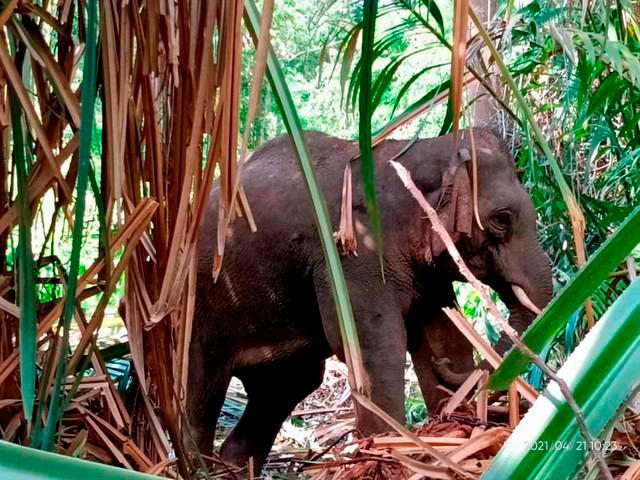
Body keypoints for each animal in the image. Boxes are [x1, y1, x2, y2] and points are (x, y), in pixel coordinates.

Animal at [188, 127, 552, 472]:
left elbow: (442, 335)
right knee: (203, 387)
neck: (422, 150)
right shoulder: (352, 253)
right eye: (503, 218)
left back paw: (231, 468)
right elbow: (374, 344)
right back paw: (197, 467)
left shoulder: (425, 271)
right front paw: (386, 454)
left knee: (289, 384)